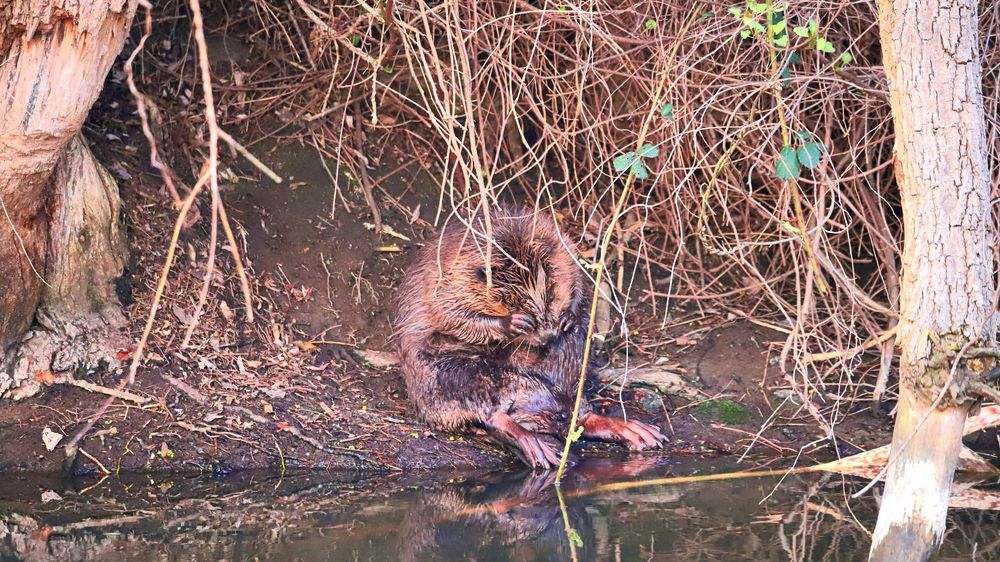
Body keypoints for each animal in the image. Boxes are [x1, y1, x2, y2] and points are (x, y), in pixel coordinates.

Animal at [394, 206, 668, 468]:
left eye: (549, 293)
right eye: (510, 302)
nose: (546, 336)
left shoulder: (562, 247)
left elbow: (577, 279)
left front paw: (568, 317)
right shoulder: (449, 276)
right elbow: (448, 311)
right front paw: (513, 323)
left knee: (570, 409)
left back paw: (636, 433)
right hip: (451, 375)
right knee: (490, 413)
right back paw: (539, 449)